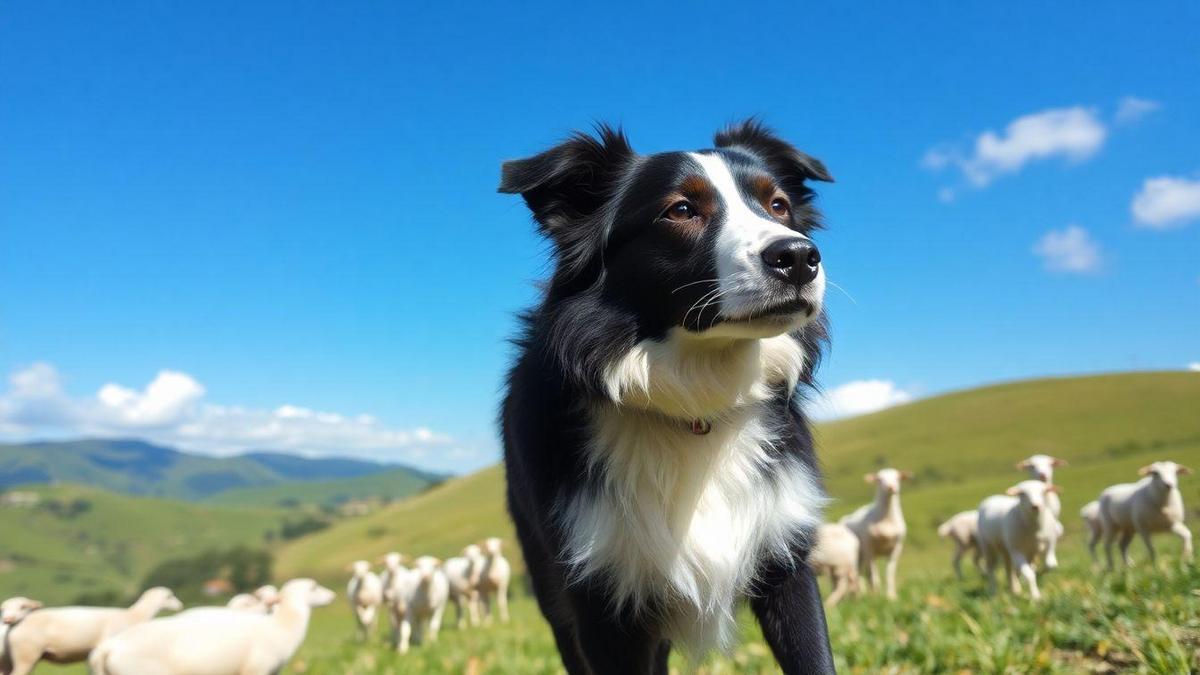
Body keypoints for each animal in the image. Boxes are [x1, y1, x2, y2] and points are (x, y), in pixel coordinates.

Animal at [840, 466, 912, 595]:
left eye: (898, 477)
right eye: (879, 479)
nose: (891, 487)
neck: (887, 520)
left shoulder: (896, 548)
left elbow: (889, 574)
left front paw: (891, 595)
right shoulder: (869, 547)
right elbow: (873, 574)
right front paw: (876, 594)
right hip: (856, 554)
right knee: (860, 572)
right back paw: (862, 593)